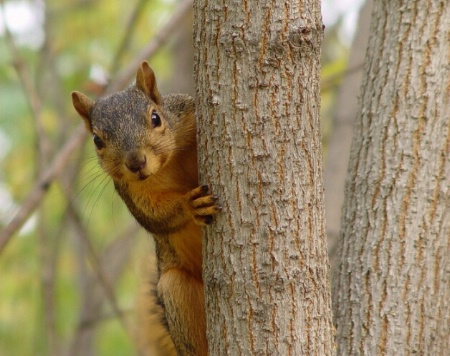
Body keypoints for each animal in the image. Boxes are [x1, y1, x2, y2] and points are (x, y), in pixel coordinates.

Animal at [70, 62, 220, 356]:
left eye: (155, 118)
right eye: (97, 140)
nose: (136, 163)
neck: (168, 162)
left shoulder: (186, 112)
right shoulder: (131, 192)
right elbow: (155, 216)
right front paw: (190, 204)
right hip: (174, 291)